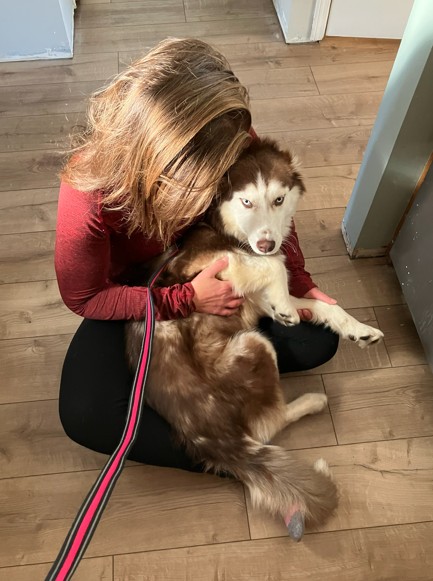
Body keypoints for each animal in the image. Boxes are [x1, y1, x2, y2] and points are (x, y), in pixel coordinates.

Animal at [125, 138, 384, 540]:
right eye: (246, 202)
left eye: (278, 200)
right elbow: (274, 267)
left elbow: (318, 303)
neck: (231, 233)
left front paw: (356, 327)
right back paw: (311, 401)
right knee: (268, 425)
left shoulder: (255, 295)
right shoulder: (203, 269)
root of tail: (210, 437)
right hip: (255, 345)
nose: (266, 242)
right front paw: (287, 307)